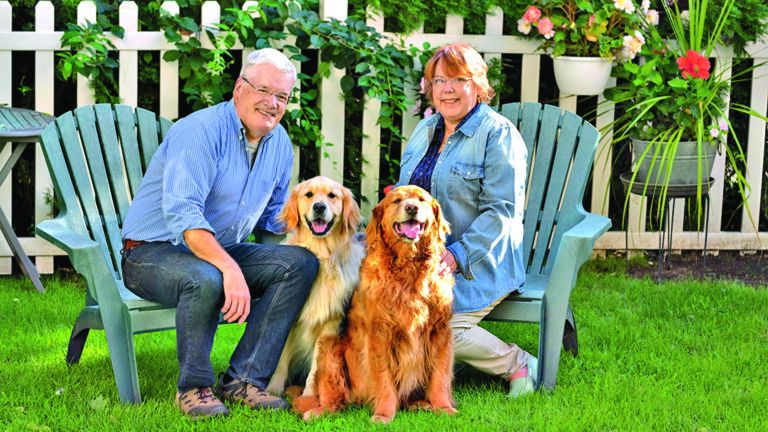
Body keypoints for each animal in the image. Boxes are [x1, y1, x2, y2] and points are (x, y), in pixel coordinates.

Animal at [268, 176, 366, 398]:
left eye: (332, 195)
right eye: (309, 194)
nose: (319, 206)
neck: (320, 255)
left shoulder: (330, 324)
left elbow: (317, 365)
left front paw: (309, 394)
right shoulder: (290, 318)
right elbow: (281, 359)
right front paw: (272, 391)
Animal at [294, 185, 456, 422]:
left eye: (421, 200)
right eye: (397, 201)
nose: (411, 208)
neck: (408, 270)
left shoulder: (440, 332)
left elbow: (440, 377)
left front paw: (443, 407)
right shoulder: (379, 334)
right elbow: (384, 380)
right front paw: (384, 414)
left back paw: (421, 405)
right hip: (329, 347)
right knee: (331, 396)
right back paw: (319, 411)